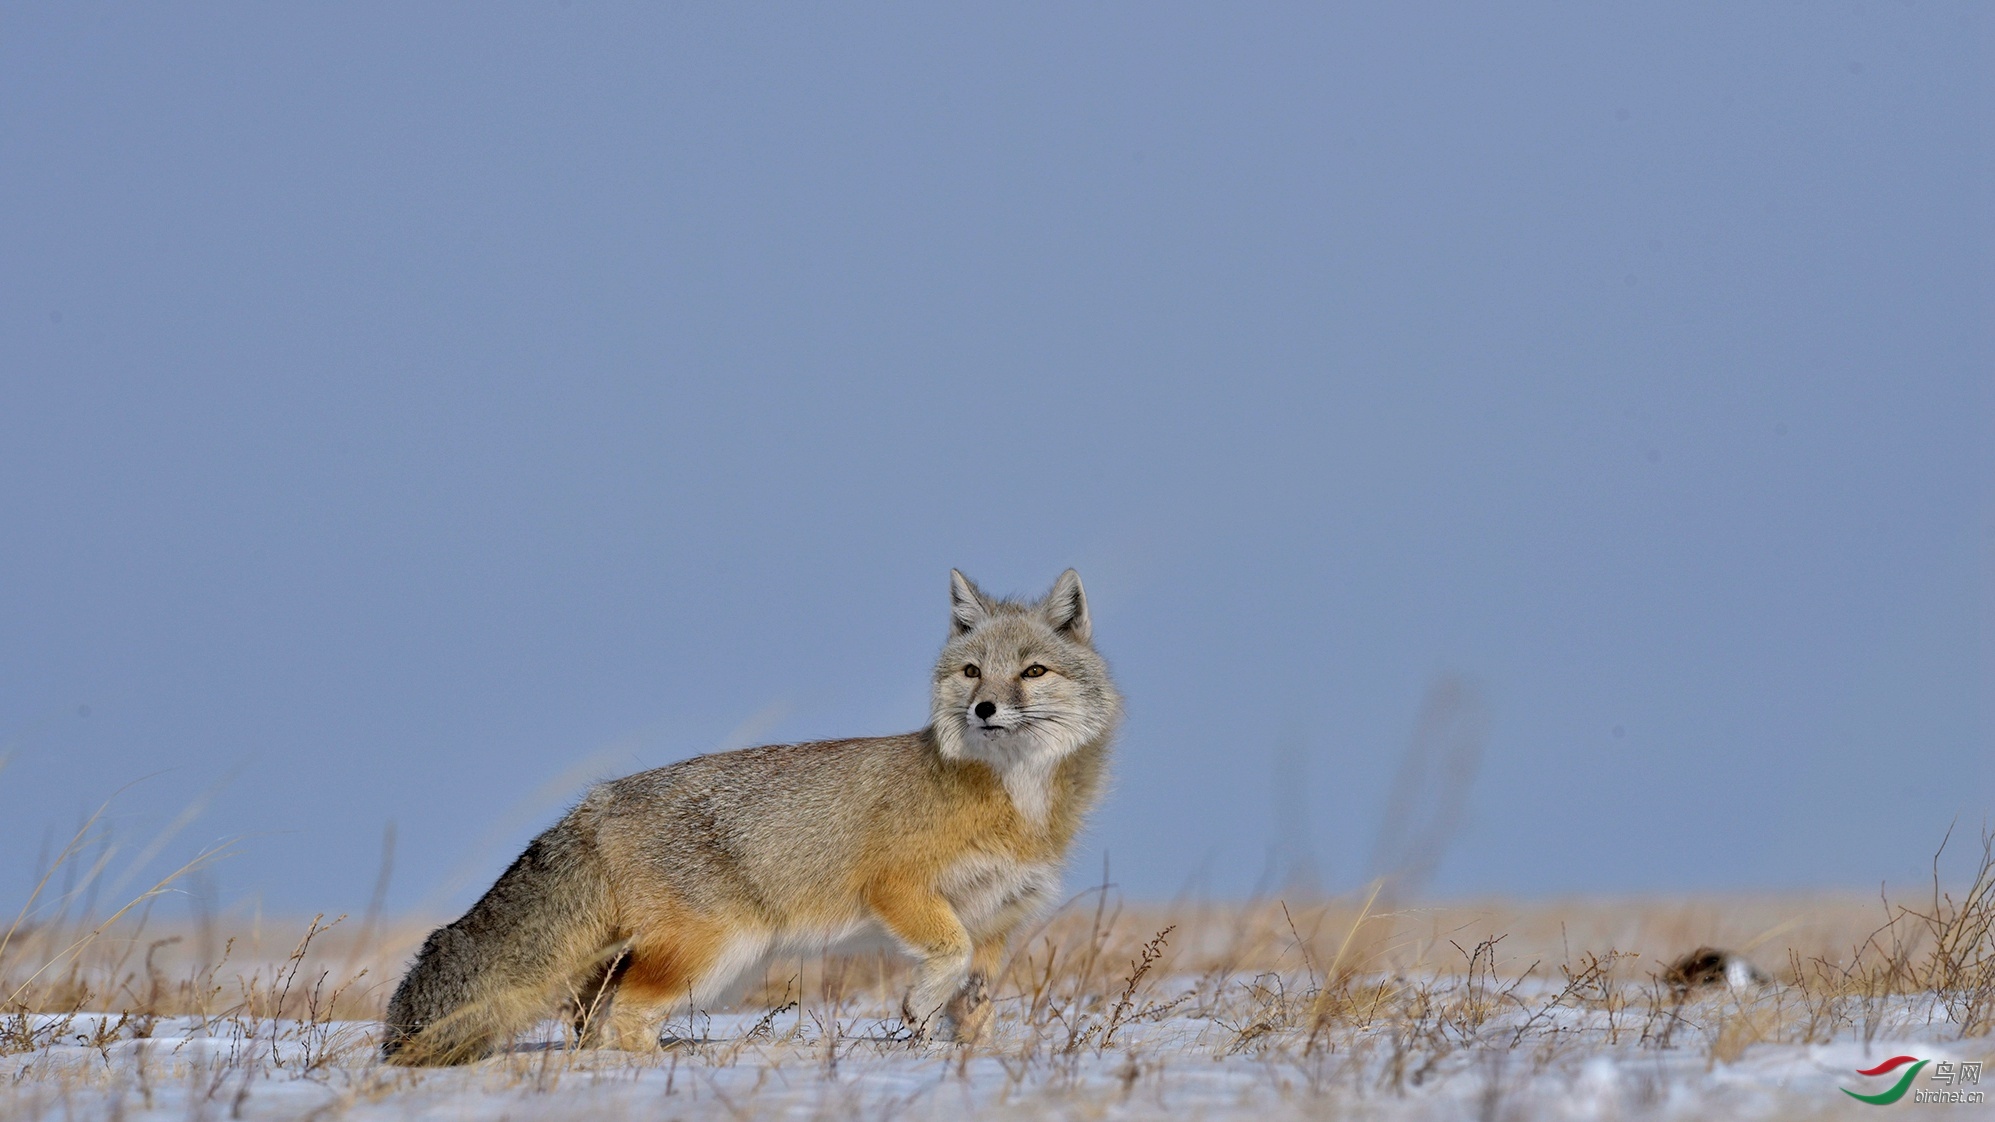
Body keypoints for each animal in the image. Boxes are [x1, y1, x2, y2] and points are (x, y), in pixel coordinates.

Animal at [379, 566, 1117, 1054]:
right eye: (970, 673)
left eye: (1031, 672)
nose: (984, 709)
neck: (1015, 801)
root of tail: (598, 800)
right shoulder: (898, 889)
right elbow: (947, 955)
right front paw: (918, 1009)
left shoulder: (998, 920)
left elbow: (976, 1004)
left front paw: (964, 1063)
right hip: (715, 955)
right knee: (624, 1020)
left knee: (591, 1021)